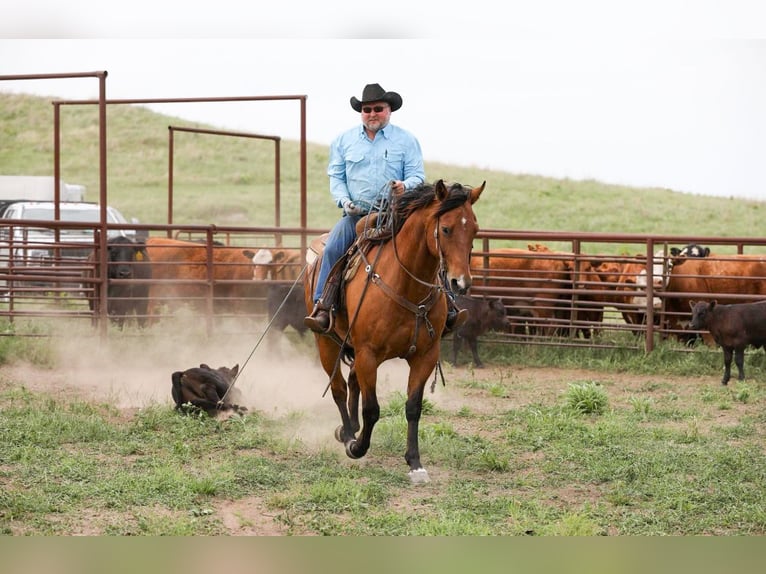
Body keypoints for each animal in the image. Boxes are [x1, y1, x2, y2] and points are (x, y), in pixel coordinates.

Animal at [302, 178, 486, 484]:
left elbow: (413, 407)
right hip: (326, 342)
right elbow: (372, 409)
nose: (460, 283)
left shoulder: (425, 356)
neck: (406, 285)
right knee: (339, 388)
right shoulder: (368, 354)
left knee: (352, 382)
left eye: (474, 228)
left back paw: (350, 428)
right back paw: (348, 433)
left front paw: (415, 463)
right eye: (446, 229)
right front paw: (357, 447)